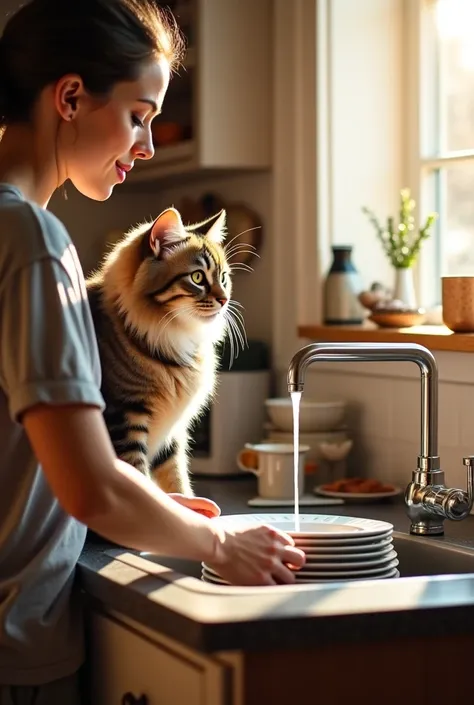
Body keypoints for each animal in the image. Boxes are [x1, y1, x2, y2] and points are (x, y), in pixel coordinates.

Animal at [86, 206, 233, 492]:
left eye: (223, 278)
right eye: (197, 277)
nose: (225, 300)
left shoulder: (170, 434)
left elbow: (176, 481)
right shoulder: (125, 419)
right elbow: (140, 478)